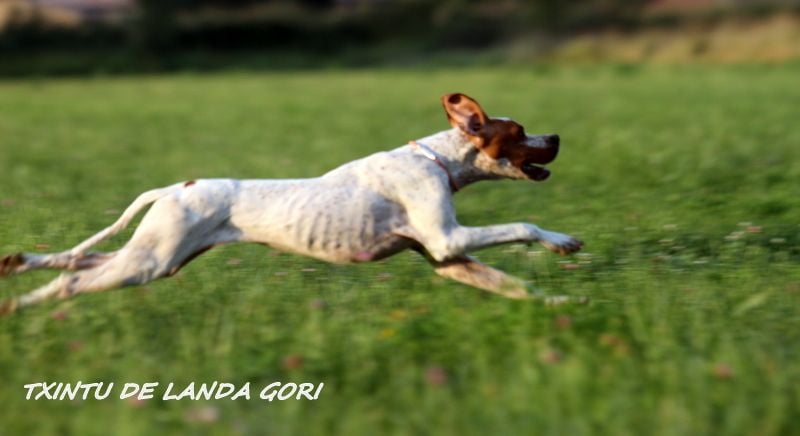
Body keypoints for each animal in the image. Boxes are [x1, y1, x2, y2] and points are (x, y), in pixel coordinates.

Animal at [3, 93, 584, 314]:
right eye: (520, 132)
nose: (558, 135)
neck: (437, 160)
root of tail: (175, 187)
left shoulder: (449, 258)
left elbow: (518, 287)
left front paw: (564, 304)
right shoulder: (450, 239)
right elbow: (525, 225)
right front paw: (562, 241)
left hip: (160, 255)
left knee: (77, 259)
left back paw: (18, 268)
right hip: (152, 260)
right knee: (75, 278)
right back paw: (24, 302)